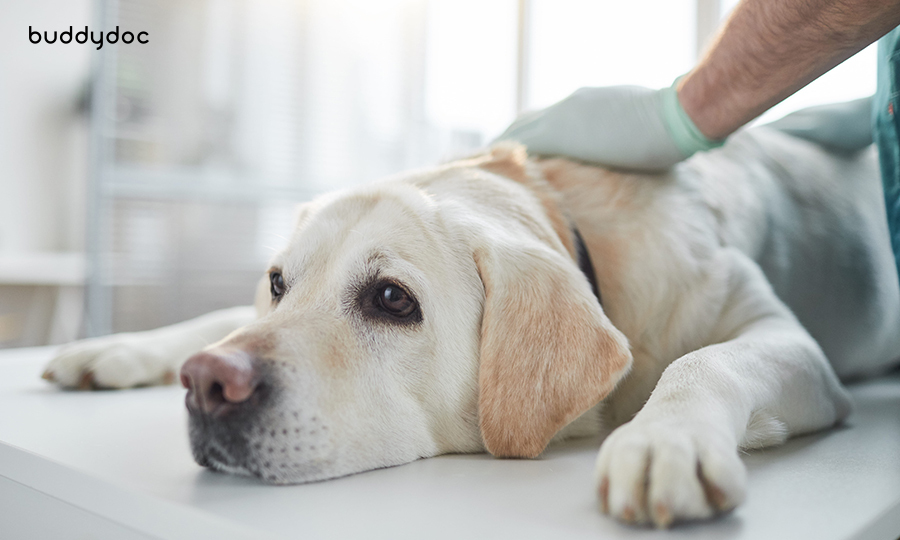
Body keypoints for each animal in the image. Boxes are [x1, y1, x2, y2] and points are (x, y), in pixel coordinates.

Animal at [42, 127, 900, 528]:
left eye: (392, 300)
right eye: (279, 283)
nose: (206, 384)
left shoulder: (788, 342)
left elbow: (706, 361)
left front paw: (667, 440)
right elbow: (222, 313)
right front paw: (114, 347)